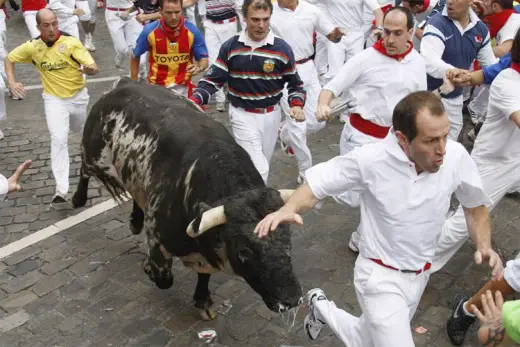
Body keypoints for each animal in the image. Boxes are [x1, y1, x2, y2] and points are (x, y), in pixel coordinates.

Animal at [71, 77, 302, 320]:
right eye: (244, 250)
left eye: (287, 240)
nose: (291, 299)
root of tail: (124, 83)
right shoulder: (158, 241)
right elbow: (164, 278)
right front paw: (148, 269)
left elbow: (204, 275)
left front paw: (202, 300)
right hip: (95, 156)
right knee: (84, 170)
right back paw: (78, 199)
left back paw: (135, 220)